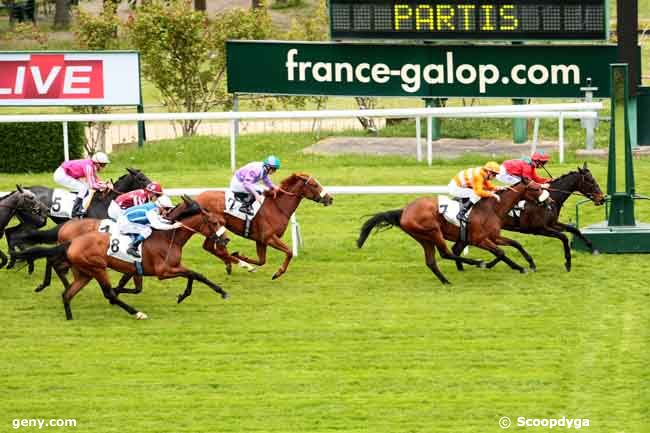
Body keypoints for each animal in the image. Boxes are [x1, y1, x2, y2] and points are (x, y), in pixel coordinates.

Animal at [10, 196, 229, 318]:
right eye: (214, 222)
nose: (225, 239)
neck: (167, 237)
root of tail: (69, 230)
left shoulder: (136, 269)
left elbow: (192, 275)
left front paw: (187, 294)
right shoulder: (164, 271)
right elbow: (195, 274)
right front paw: (219, 292)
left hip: (84, 271)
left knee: (66, 286)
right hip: (96, 268)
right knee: (103, 291)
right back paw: (136, 312)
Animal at [195, 172, 332, 280]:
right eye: (314, 185)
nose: (330, 198)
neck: (277, 207)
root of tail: (197, 198)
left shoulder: (260, 240)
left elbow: (262, 261)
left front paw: (240, 256)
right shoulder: (269, 237)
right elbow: (289, 251)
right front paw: (278, 273)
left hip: (213, 229)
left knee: (209, 247)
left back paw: (231, 264)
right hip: (214, 226)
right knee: (215, 249)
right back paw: (242, 265)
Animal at [356, 178, 548, 284]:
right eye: (536, 188)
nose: (549, 201)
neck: (492, 208)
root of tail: (404, 211)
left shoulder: (494, 236)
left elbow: (515, 243)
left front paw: (531, 263)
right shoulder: (479, 239)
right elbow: (500, 252)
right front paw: (519, 268)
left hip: (424, 238)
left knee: (431, 261)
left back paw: (446, 281)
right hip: (433, 232)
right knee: (446, 253)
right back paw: (476, 262)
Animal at [450, 162, 604, 270]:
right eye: (590, 181)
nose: (601, 198)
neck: (550, 198)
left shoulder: (553, 224)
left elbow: (574, 230)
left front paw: (592, 247)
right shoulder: (539, 229)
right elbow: (564, 237)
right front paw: (568, 262)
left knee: (457, 249)